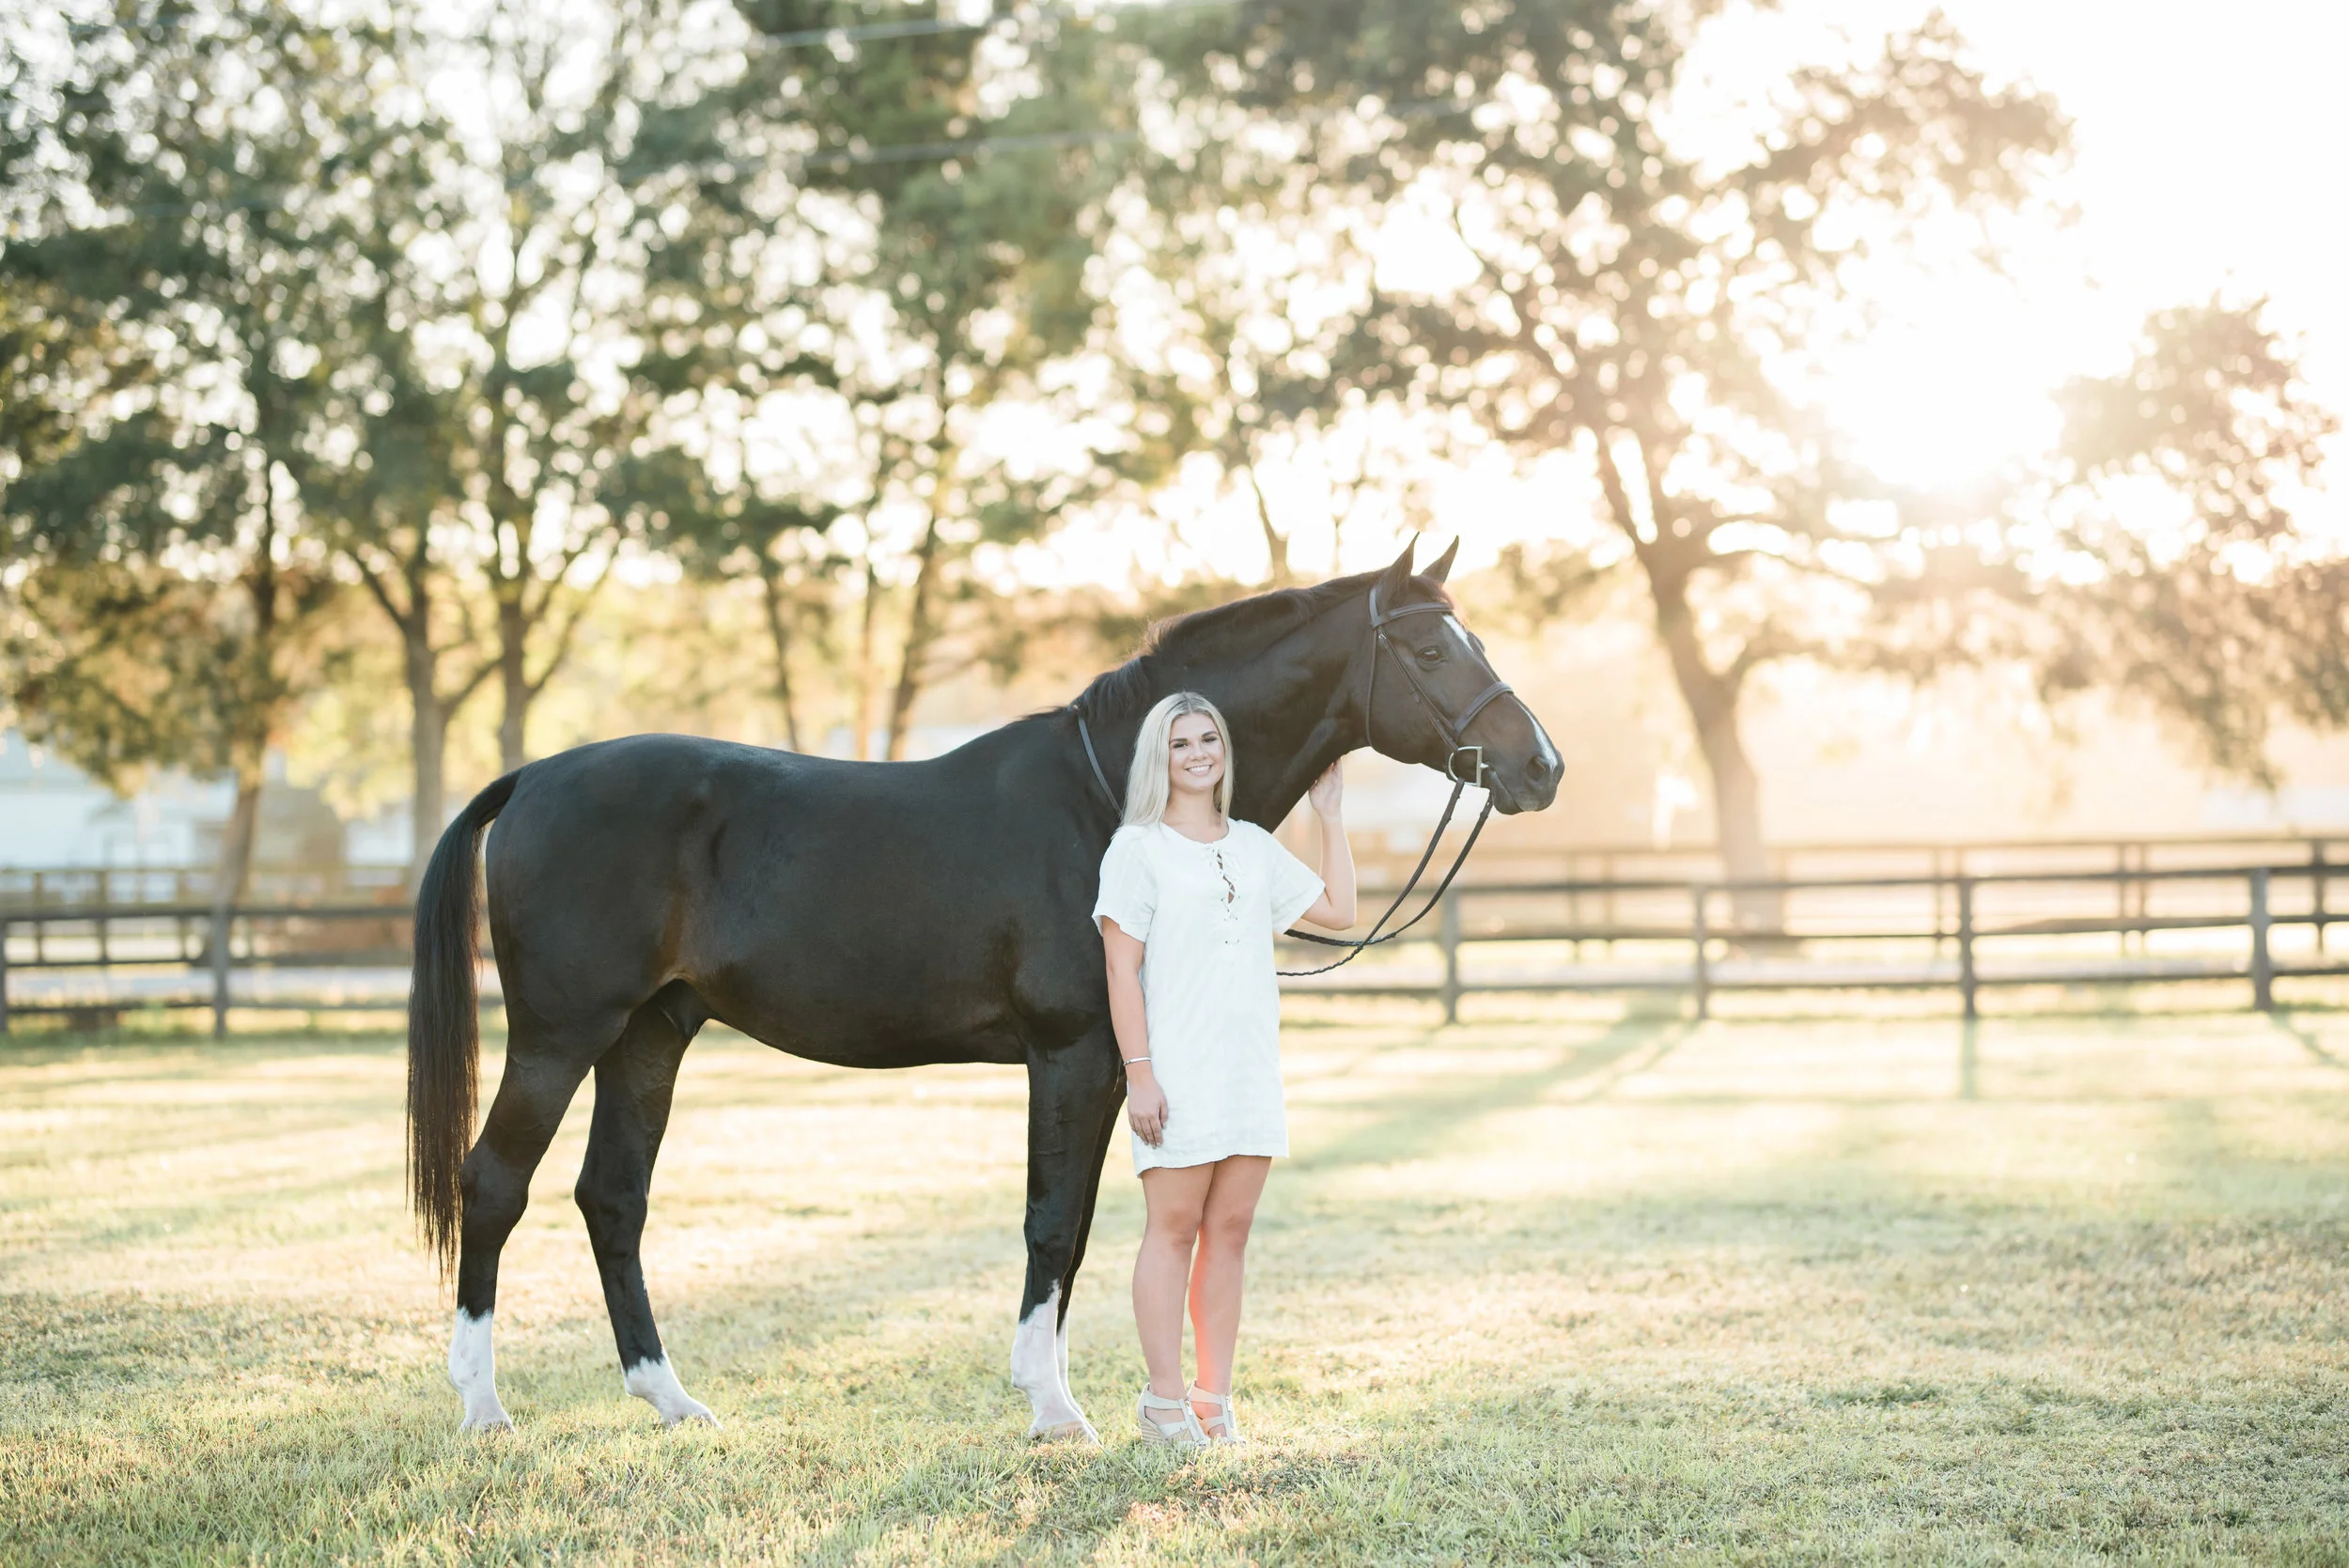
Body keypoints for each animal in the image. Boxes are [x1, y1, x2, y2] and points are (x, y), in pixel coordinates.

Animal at [405, 537, 1561, 1437]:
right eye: (1428, 649)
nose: (1541, 766)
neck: (1103, 803)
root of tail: (535, 776)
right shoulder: (1069, 1056)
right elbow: (1050, 1224)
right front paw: (1053, 1407)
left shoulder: (1108, 1073)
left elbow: (1079, 1229)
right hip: (560, 1036)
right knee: (493, 1185)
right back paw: (481, 1406)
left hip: (649, 1034)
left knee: (613, 1197)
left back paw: (670, 1399)